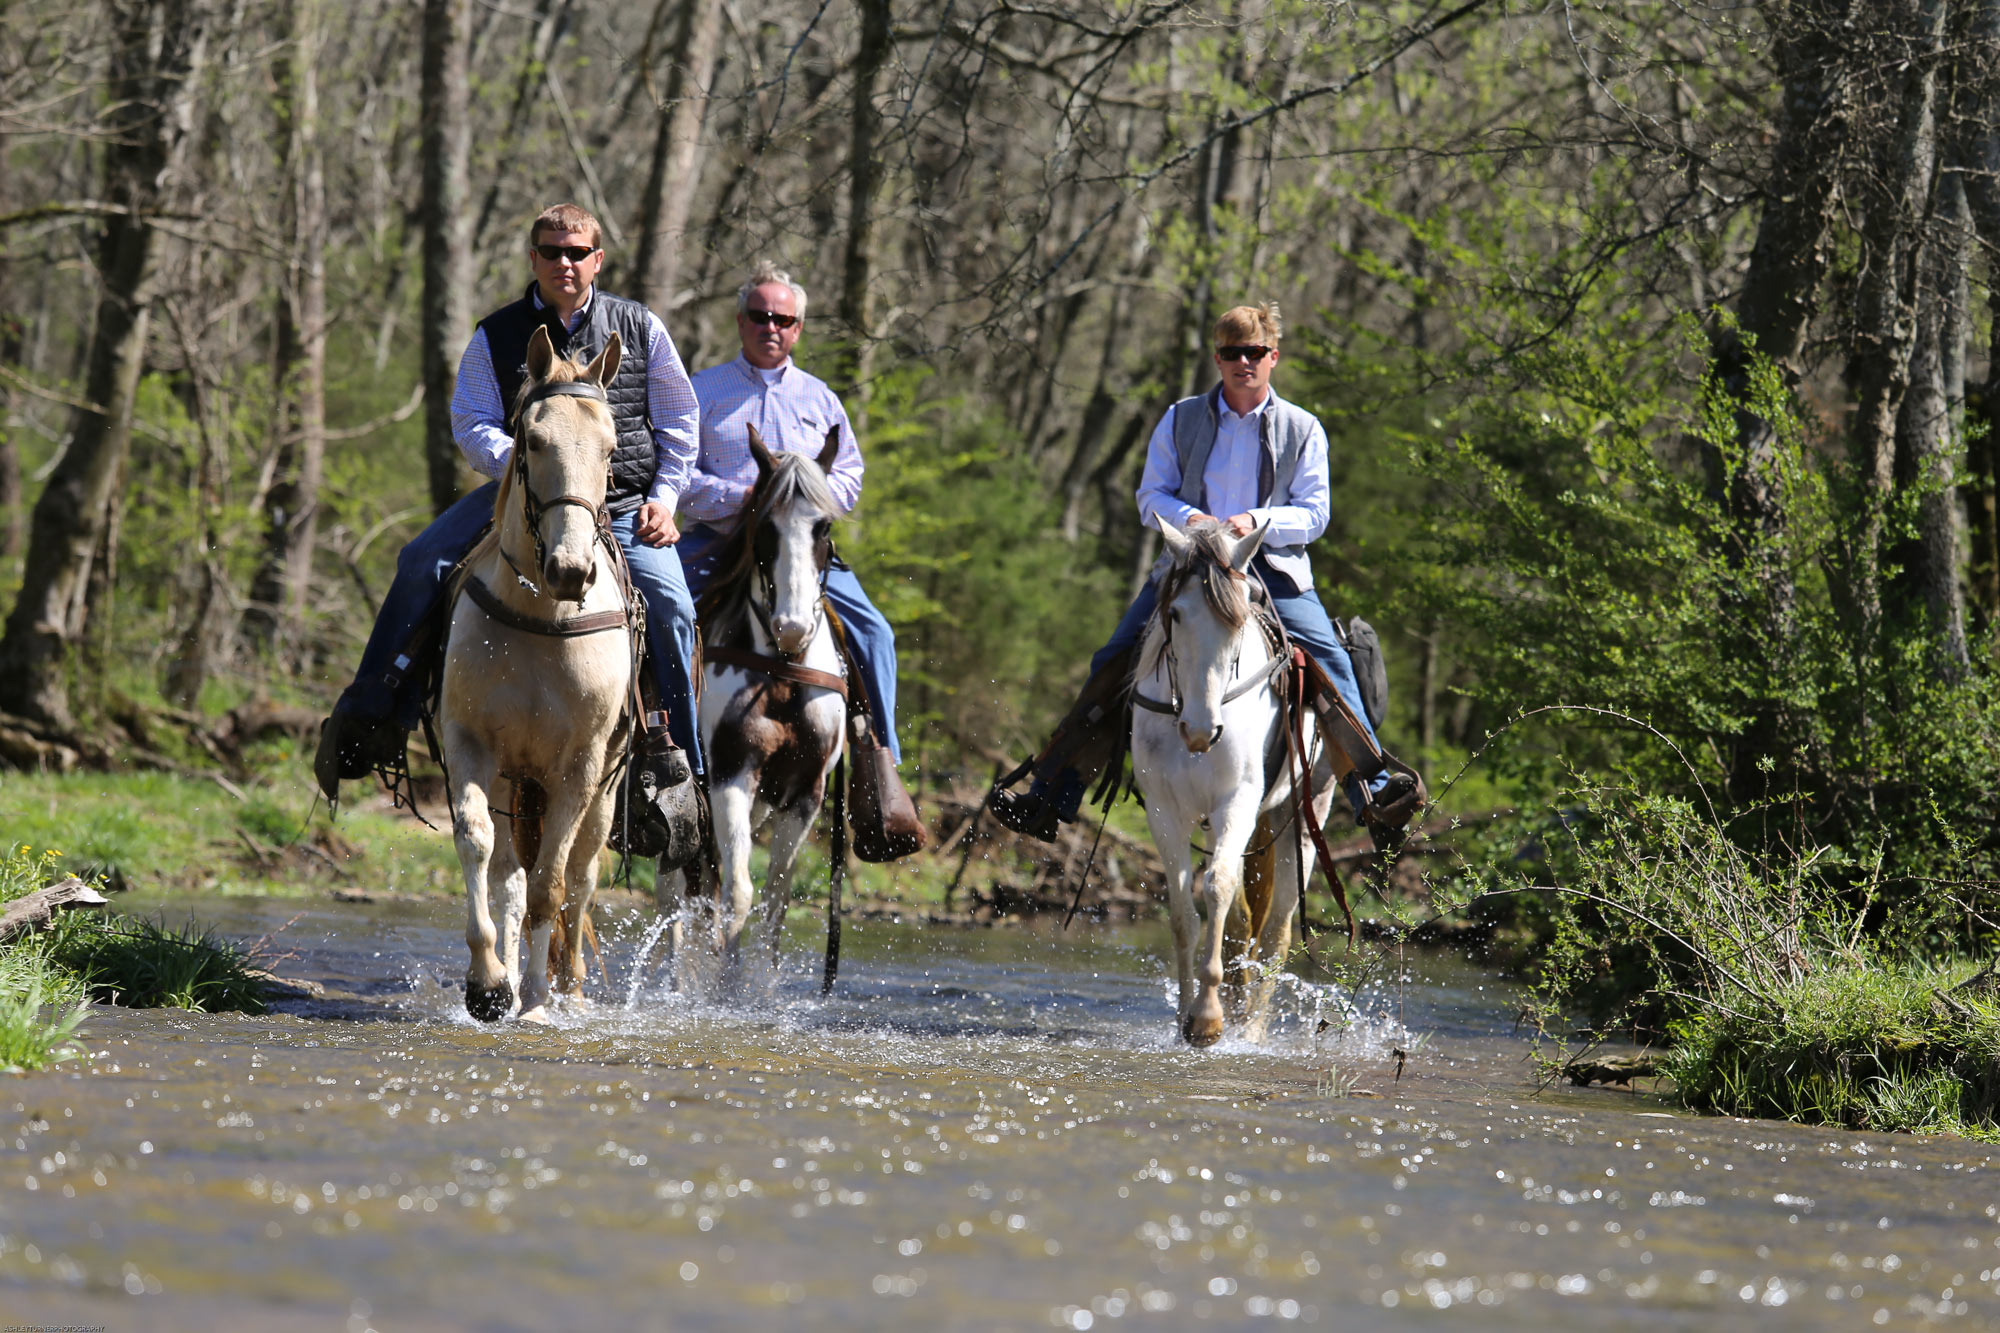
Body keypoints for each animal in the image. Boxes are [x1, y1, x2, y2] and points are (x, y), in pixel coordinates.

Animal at [442, 326, 636, 1020]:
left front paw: (534, 1000)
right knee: (509, 874)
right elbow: (477, 846)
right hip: (513, 781)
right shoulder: (469, 743)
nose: (570, 570)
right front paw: (489, 983)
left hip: (605, 788)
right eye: (531, 440)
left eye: (610, 448)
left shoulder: (579, 766)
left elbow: (555, 884)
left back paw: (569, 990)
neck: (539, 616)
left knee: (580, 876)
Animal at [684, 426, 848, 976]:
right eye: (765, 526)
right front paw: (725, 989)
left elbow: (775, 909)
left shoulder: (806, 795)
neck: (782, 673)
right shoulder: (730, 775)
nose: (792, 627)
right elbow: (737, 896)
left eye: (823, 526)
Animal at [1128, 512, 1344, 1040]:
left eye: (1239, 618)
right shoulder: (1163, 811)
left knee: (1277, 929)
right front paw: (1186, 1017)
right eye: (1175, 613)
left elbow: (1218, 887)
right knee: (1246, 922)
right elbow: (1183, 913)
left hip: (1304, 813)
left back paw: (1250, 1030)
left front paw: (1208, 1018)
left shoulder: (1238, 803)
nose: (1200, 730)